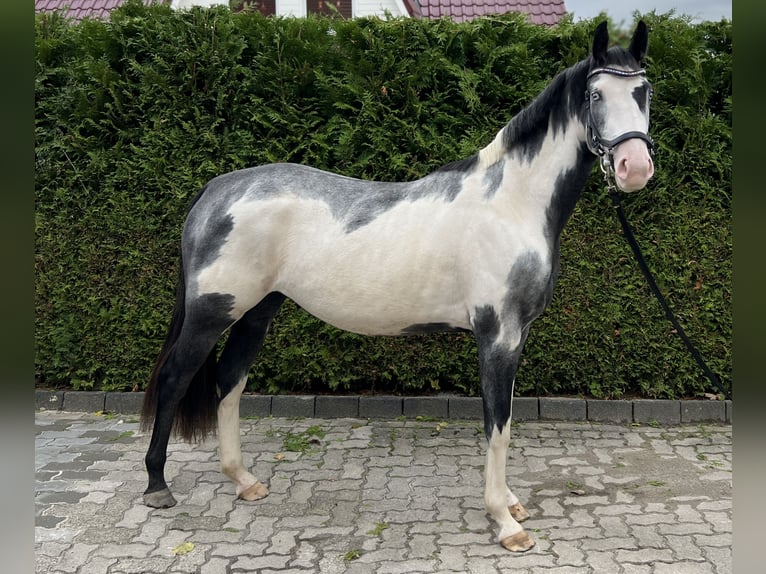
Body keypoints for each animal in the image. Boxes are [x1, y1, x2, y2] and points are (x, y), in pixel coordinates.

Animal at [140, 21, 656, 552]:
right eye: (595, 94)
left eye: (644, 92)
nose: (634, 168)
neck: (509, 205)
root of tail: (216, 190)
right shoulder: (498, 335)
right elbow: (497, 424)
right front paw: (505, 522)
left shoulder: (517, 334)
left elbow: (505, 418)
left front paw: (511, 503)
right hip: (212, 312)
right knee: (175, 378)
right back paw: (157, 485)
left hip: (256, 312)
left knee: (229, 381)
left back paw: (244, 481)